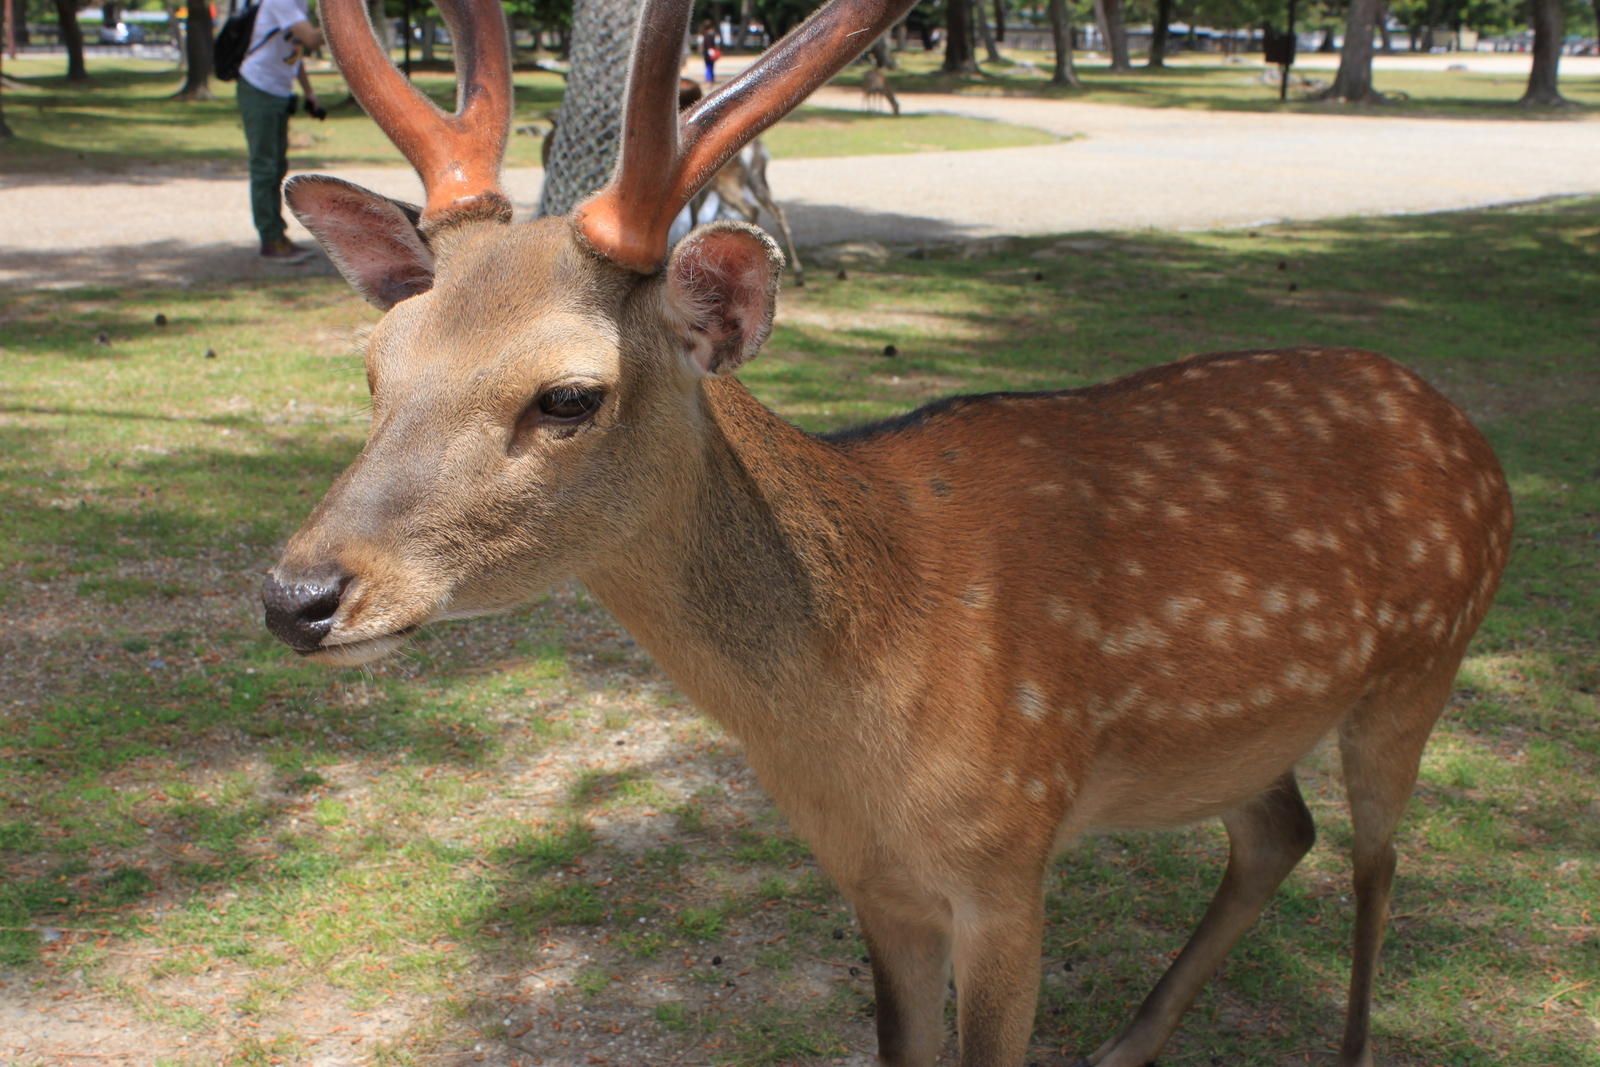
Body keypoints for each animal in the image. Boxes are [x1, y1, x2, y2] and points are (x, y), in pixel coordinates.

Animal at [261, 0, 1514, 1062]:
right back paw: (1127, 1041)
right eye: (377, 364)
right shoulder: (872, 879)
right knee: (1276, 832)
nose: (296, 595)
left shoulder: (1008, 856)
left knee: (1375, 859)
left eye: (568, 394)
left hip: (1421, 664)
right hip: (1246, 723)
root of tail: (1467, 432)